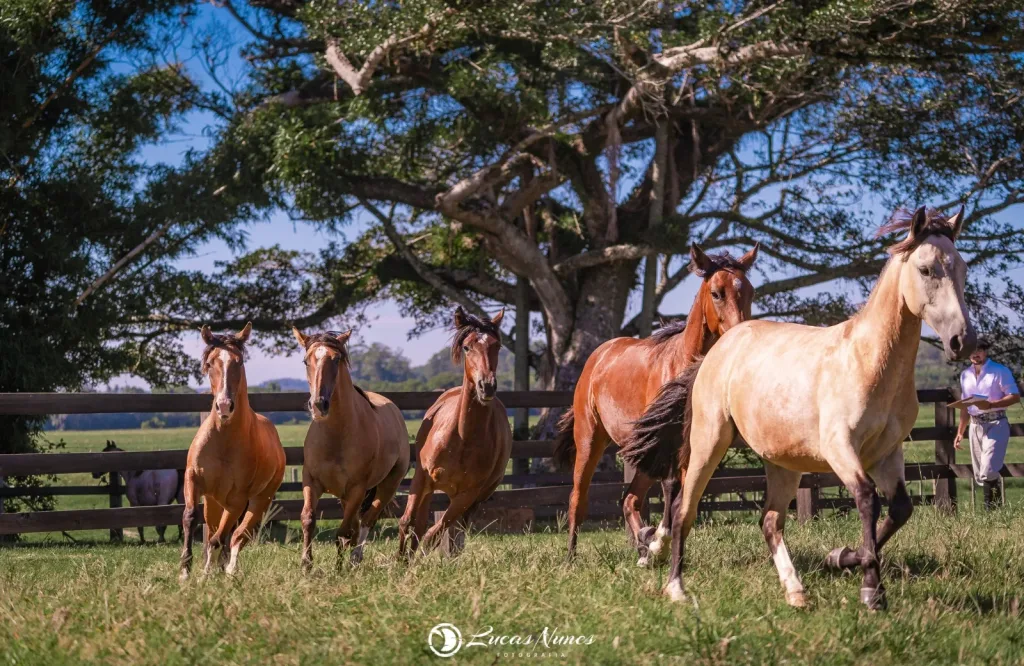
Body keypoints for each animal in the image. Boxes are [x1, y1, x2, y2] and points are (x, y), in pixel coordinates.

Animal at [178, 323, 286, 581]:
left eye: (239, 362)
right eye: (210, 363)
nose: (225, 406)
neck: (224, 442)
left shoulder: (237, 499)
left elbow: (219, 539)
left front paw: (205, 575)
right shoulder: (193, 480)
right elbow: (191, 518)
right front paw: (185, 571)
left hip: (259, 501)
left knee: (237, 536)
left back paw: (229, 571)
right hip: (213, 502)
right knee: (217, 531)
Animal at [293, 328, 410, 570]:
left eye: (336, 359)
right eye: (306, 361)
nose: (318, 405)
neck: (337, 436)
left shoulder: (357, 488)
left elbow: (343, 531)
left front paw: (339, 569)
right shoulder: (311, 481)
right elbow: (308, 519)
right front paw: (306, 565)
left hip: (387, 486)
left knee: (366, 520)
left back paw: (355, 559)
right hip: (346, 496)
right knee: (357, 525)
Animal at [398, 307, 513, 557]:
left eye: (497, 346)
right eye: (467, 347)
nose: (486, 386)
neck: (462, 438)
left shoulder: (468, 494)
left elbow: (436, 532)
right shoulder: (421, 478)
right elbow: (407, 521)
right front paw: (400, 561)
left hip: (472, 498)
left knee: (449, 527)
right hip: (431, 488)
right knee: (419, 523)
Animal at [554, 243, 758, 564]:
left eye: (750, 292)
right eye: (716, 293)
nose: (741, 337)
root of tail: (598, 356)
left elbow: (686, 497)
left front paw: (658, 545)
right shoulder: (668, 445)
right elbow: (673, 490)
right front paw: (660, 542)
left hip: (643, 453)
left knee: (630, 499)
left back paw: (643, 546)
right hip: (590, 440)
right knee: (579, 497)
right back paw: (572, 559)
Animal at [632, 206, 974, 610]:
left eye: (962, 268)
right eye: (925, 269)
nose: (963, 341)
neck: (869, 360)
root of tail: (720, 347)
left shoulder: (886, 454)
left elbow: (900, 509)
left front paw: (841, 558)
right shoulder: (840, 448)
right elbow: (866, 499)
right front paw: (871, 589)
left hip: (782, 461)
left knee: (769, 520)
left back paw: (795, 590)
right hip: (708, 441)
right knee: (684, 509)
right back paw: (676, 589)